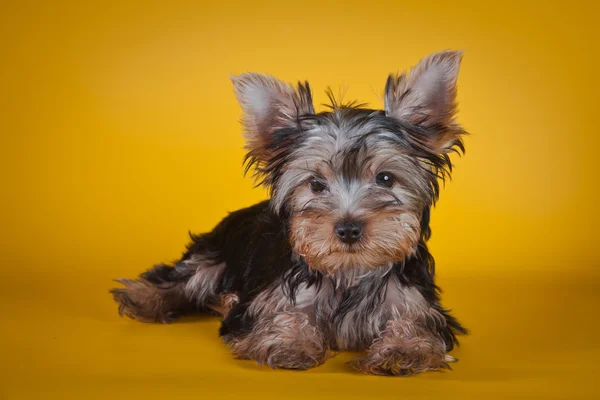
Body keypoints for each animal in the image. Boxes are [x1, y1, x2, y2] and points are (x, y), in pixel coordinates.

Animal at [112, 49, 468, 376]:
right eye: (315, 184)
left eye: (385, 179)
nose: (349, 228)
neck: (348, 271)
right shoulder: (273, 296)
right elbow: (282, 315)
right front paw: (290, 342)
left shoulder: (416, 301)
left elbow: (417, 324)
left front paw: (404, 349)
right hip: (215, 251)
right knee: (184, 275)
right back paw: (144, 298)